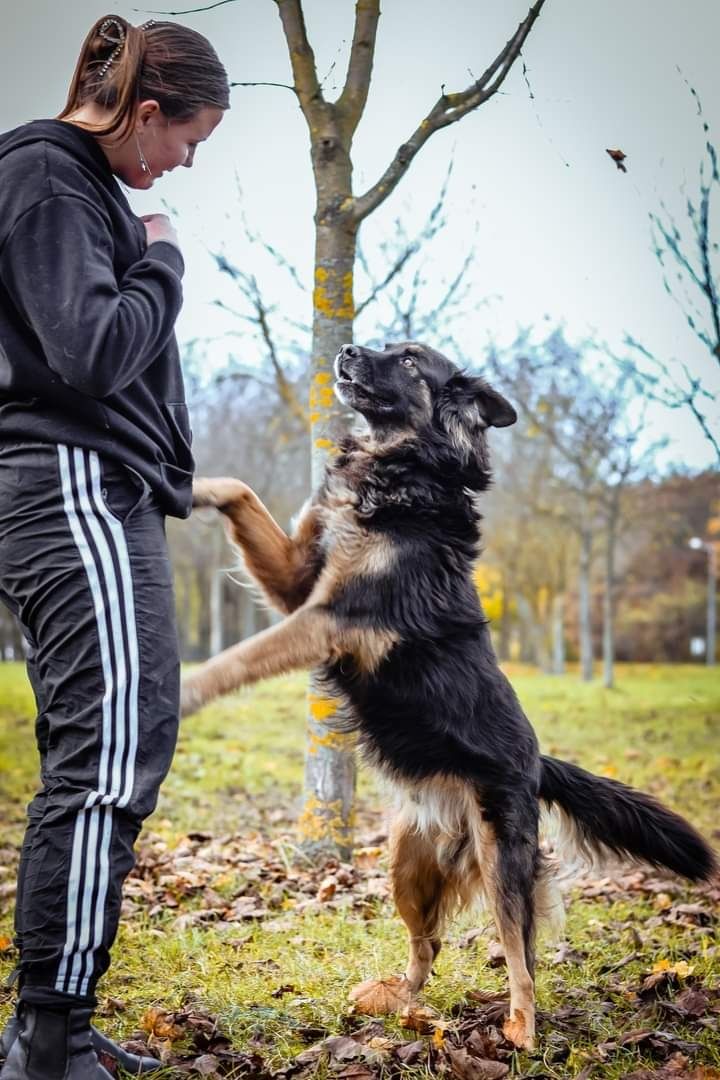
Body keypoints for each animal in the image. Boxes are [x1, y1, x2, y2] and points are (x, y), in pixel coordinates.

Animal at [180, 341, 716, 1049]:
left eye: (410, 361)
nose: (347, 349)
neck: (401, 473)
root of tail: (538, 762)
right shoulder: (299, 582)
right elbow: (240, 489)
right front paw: (188, 485)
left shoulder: (334, 617)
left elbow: (239, 656)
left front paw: (183, 687)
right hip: (406, 863)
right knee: (428, 943)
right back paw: (396, 1002)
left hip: (500, 859)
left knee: (521, 956)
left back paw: (520, 1032)